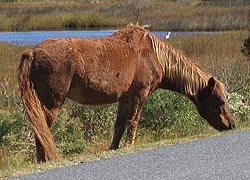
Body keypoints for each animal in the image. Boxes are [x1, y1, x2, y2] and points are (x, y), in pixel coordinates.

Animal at [18, 24, 235, 162]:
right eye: (220, 101)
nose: (232, 125)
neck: (154, 55)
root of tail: (33, 53)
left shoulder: (124, 99)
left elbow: (119, 126)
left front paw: (114, 148)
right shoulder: (139, 96)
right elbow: (133, 123)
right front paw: (129, 146)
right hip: (52, 103)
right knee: (42, 130)